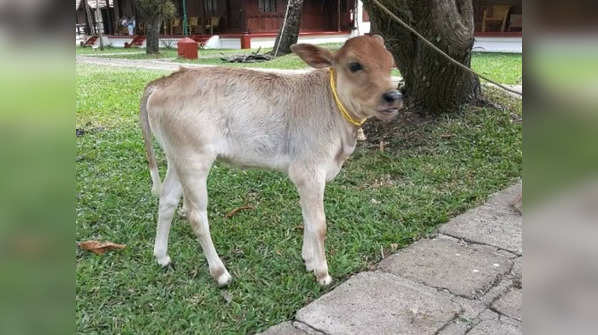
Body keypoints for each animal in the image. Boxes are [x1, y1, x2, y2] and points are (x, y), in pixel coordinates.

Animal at [140, 34, 404, 288]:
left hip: (176, 159)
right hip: (194, 161)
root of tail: (165, 80)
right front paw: (322, 273)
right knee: (195, 215)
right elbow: (318, 224)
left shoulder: (306, 178)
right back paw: (220, 274)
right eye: (355, 65)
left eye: (391, 63)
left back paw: (162, 256)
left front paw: (309, 261)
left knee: (167, 200)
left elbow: (307, 218)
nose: (394, 96)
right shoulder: (309, 172)